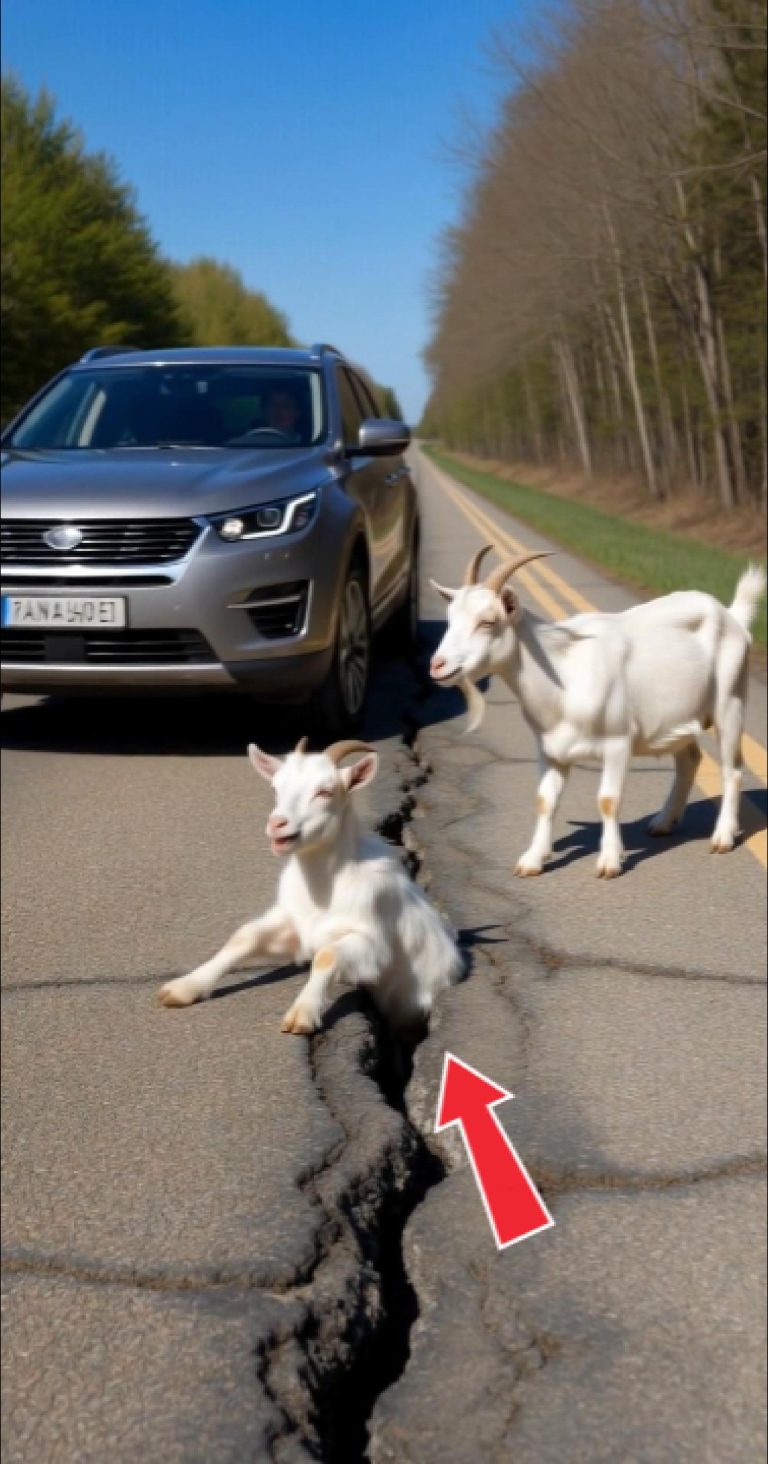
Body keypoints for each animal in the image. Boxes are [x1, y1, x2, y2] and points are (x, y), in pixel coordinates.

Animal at [158, 738, 462, 1032]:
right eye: (276, 788)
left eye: (325, 792)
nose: (277, 824)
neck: (324, 890)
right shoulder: (295, 926)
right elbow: (245, 936)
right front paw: (185, 987)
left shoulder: (373, 943)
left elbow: (326, 956)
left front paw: (302, 1014)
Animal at [429, 546, 765, 879]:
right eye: (450, 618)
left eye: (487, 621)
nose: (437, 665)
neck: (564, 674)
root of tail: (731, 615)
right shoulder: (550, 749)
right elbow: (544, 801)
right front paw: (532, 860)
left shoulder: (618, 742)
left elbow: (607, 800)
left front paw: (609, 862)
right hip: (679, 716)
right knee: (689, 760)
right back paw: (663, 822)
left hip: (730, 701)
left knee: (732, 769)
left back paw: (722, 837)